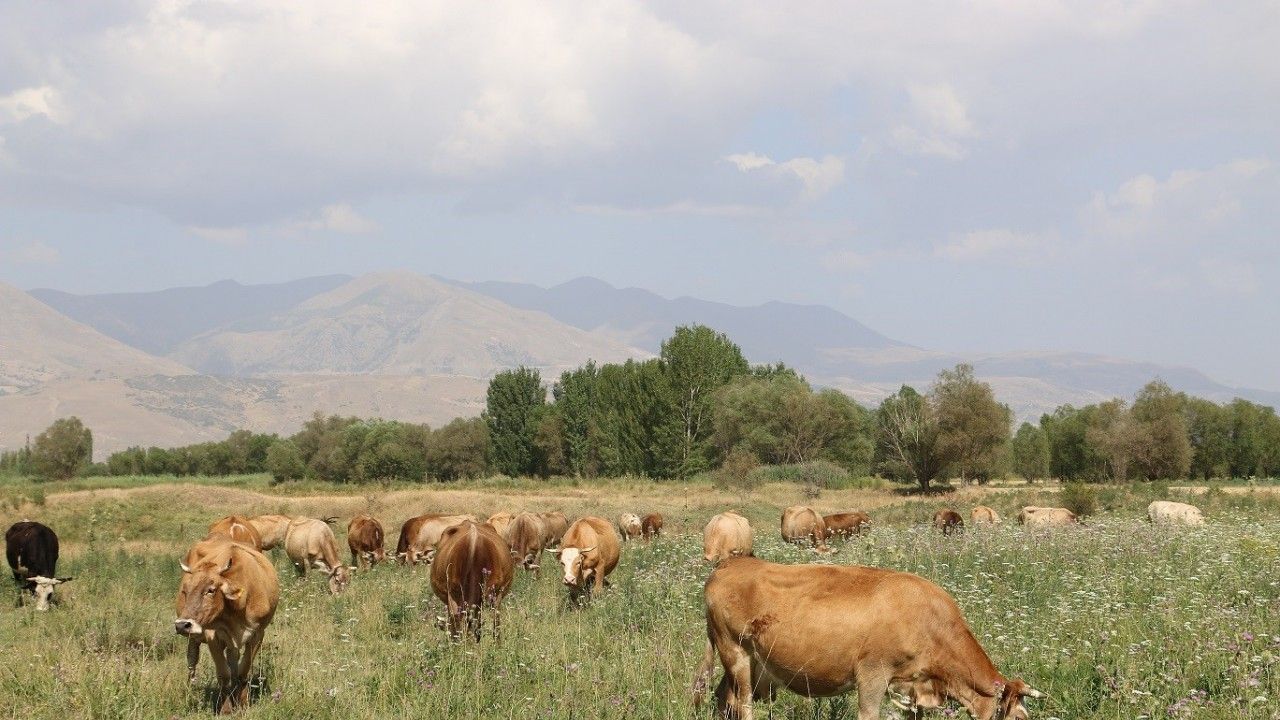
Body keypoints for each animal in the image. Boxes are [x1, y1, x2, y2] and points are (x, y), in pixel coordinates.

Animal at [175, 535, 280, 707]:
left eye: (211, 590)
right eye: (185, 590)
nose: (182, 625)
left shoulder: (258, 633)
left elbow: (243, 670)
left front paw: (242, 703)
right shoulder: (212, 634)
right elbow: (223, 674)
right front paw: (226, 708)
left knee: (233, 660)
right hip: (194, 637)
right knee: (192, 659)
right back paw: (191, 687)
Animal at [696, 556, 1044, 717]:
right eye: (1020, 718)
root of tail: (730, 563)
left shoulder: (912, 687)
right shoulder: (873, 675)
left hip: (749, 665)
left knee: (723, 699)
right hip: (735, 652)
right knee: (742, 705)